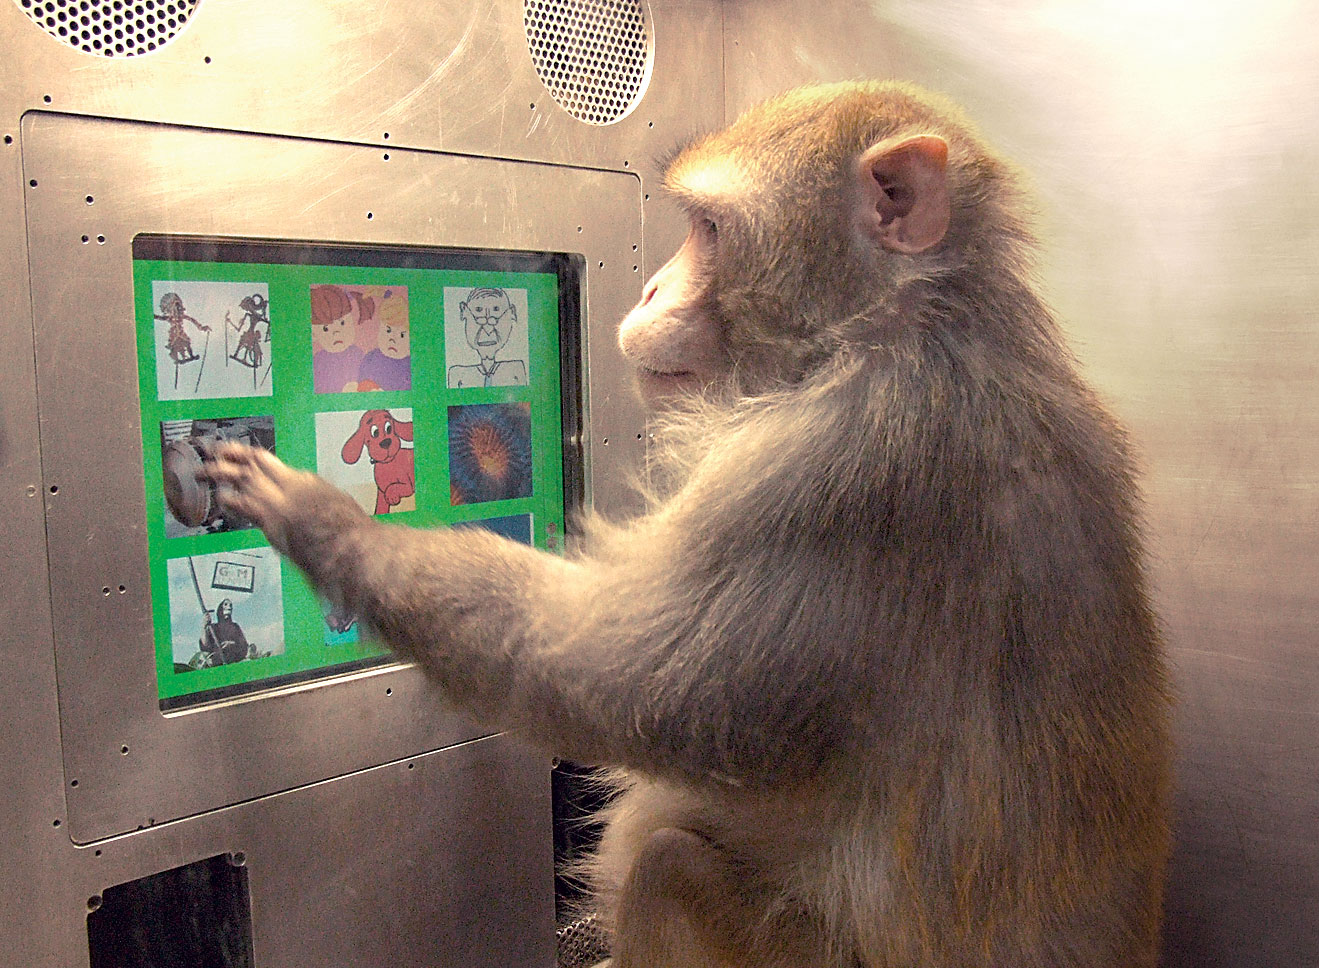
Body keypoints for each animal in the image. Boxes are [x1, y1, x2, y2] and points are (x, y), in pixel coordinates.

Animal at [205, 81, 1172, 968]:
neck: (898, 320)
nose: (650, 286)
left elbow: (624, 684)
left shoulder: (837, 465)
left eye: (708, 228)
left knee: (666, 863)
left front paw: (332, 530)